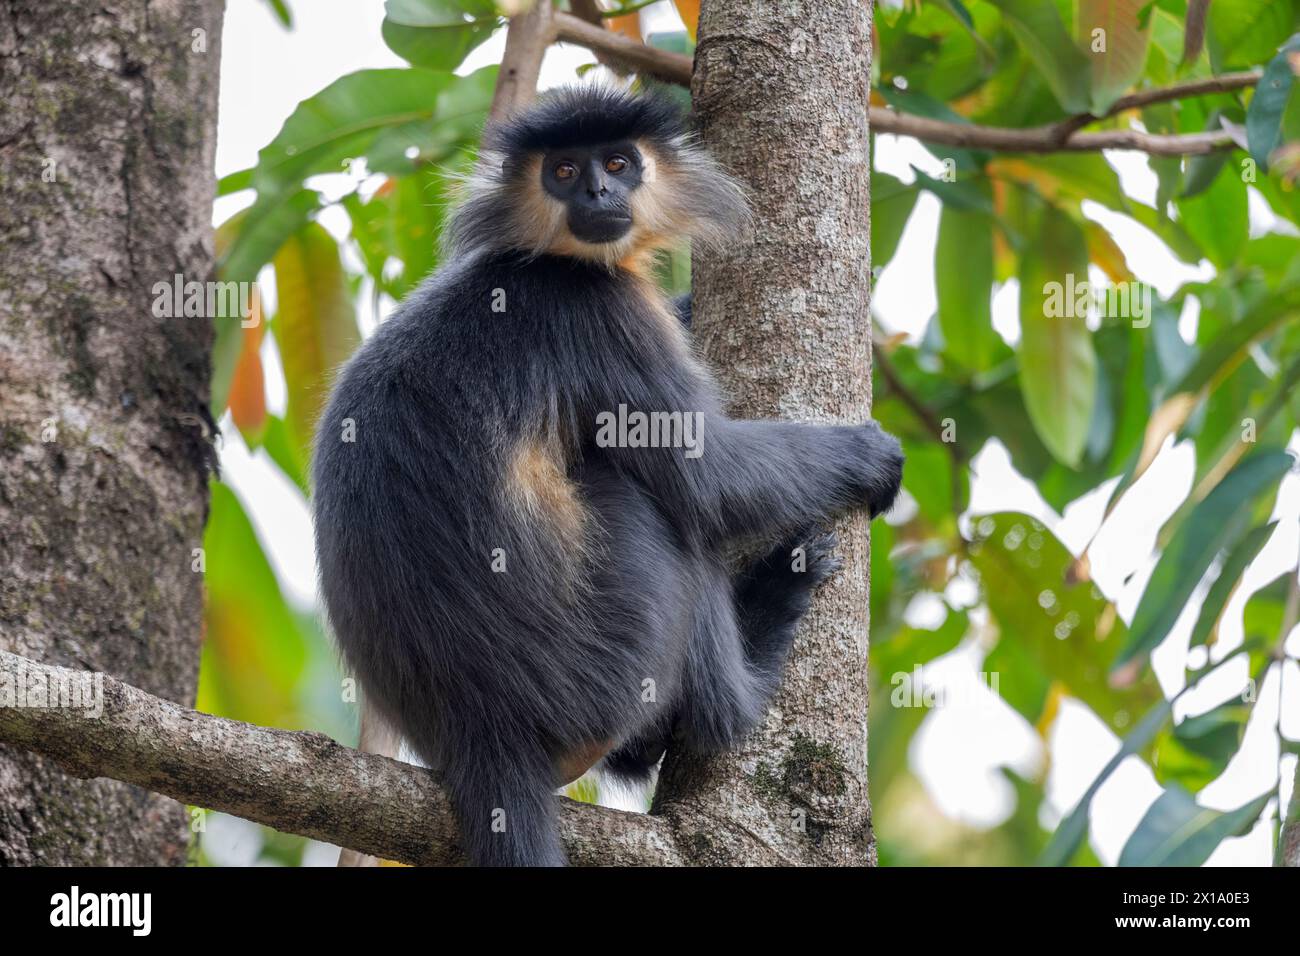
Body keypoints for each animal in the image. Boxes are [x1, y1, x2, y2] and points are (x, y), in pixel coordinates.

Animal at [314, 87, 904, 868]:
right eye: (564, 170)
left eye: (618, 162)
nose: (597, 191)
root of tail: (485, 734)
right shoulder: (599, 313)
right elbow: (712, 481)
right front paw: (869, 457)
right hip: (614, 657)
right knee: (662, 510)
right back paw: (754, 657)